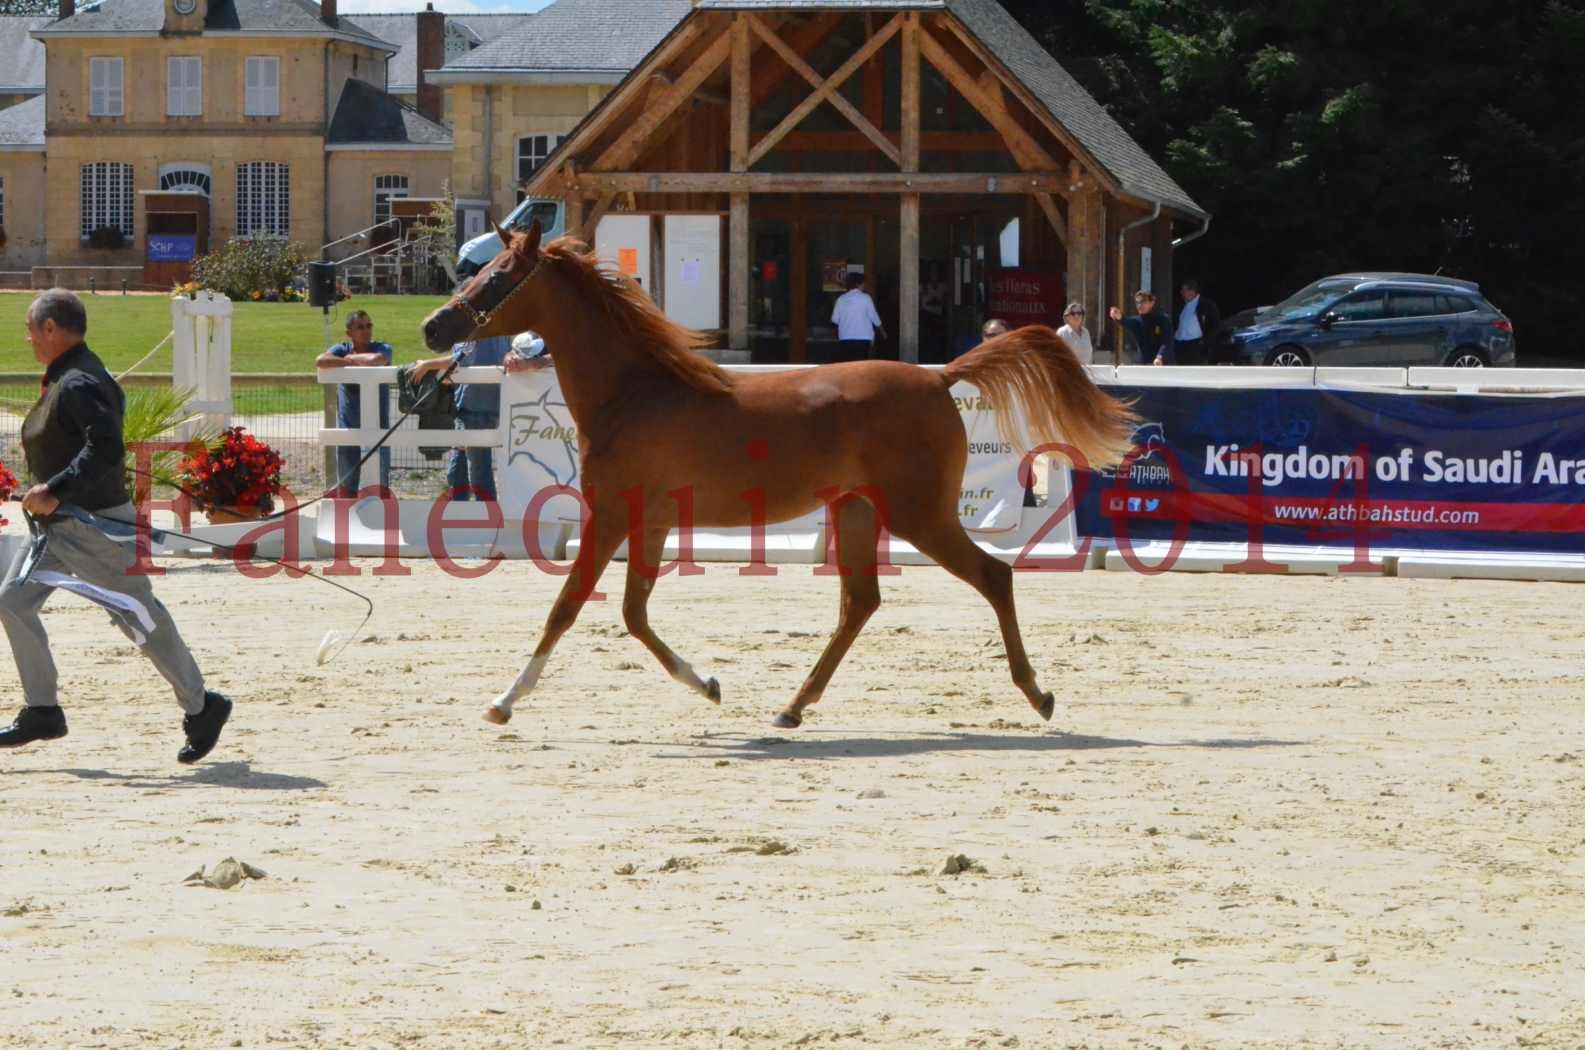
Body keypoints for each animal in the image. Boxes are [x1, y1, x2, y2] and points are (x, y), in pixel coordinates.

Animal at [424, 222, 1141, 732]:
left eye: (496, 280)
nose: (434, 325)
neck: (636, 392)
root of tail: (940, 376)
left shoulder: (612, 515)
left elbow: (568, 607)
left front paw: (503, 700)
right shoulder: (649, 522)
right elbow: (633, 614)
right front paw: (709, 685)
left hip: (920, 514)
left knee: (992, 577)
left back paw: (1038, 695)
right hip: (857, 510)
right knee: (860, 604)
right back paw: (793, 706)